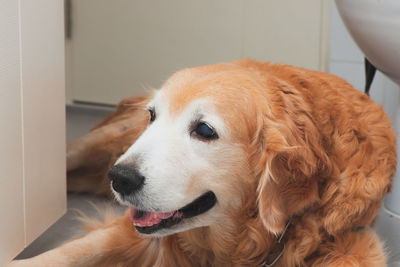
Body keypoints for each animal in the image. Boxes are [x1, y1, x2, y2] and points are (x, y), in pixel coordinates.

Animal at [10, 59, 396, 266]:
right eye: (153, 115)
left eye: (205, 130)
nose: (119, 178)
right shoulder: (133, 230)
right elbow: (71, 251)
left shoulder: (352, 242)